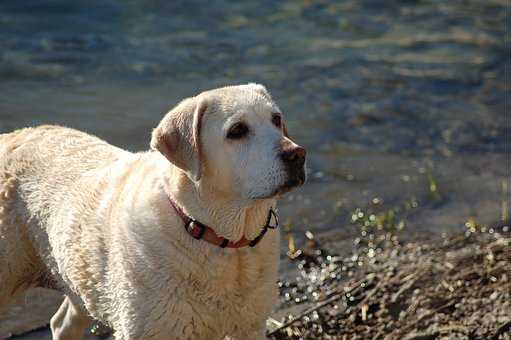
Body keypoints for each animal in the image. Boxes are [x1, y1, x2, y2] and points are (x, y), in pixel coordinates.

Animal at [0, 83, 306, 338]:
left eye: (276, 120)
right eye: (237, 131)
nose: (298, 155)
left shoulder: (250, 325)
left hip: (81, 280)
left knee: (61, 322)